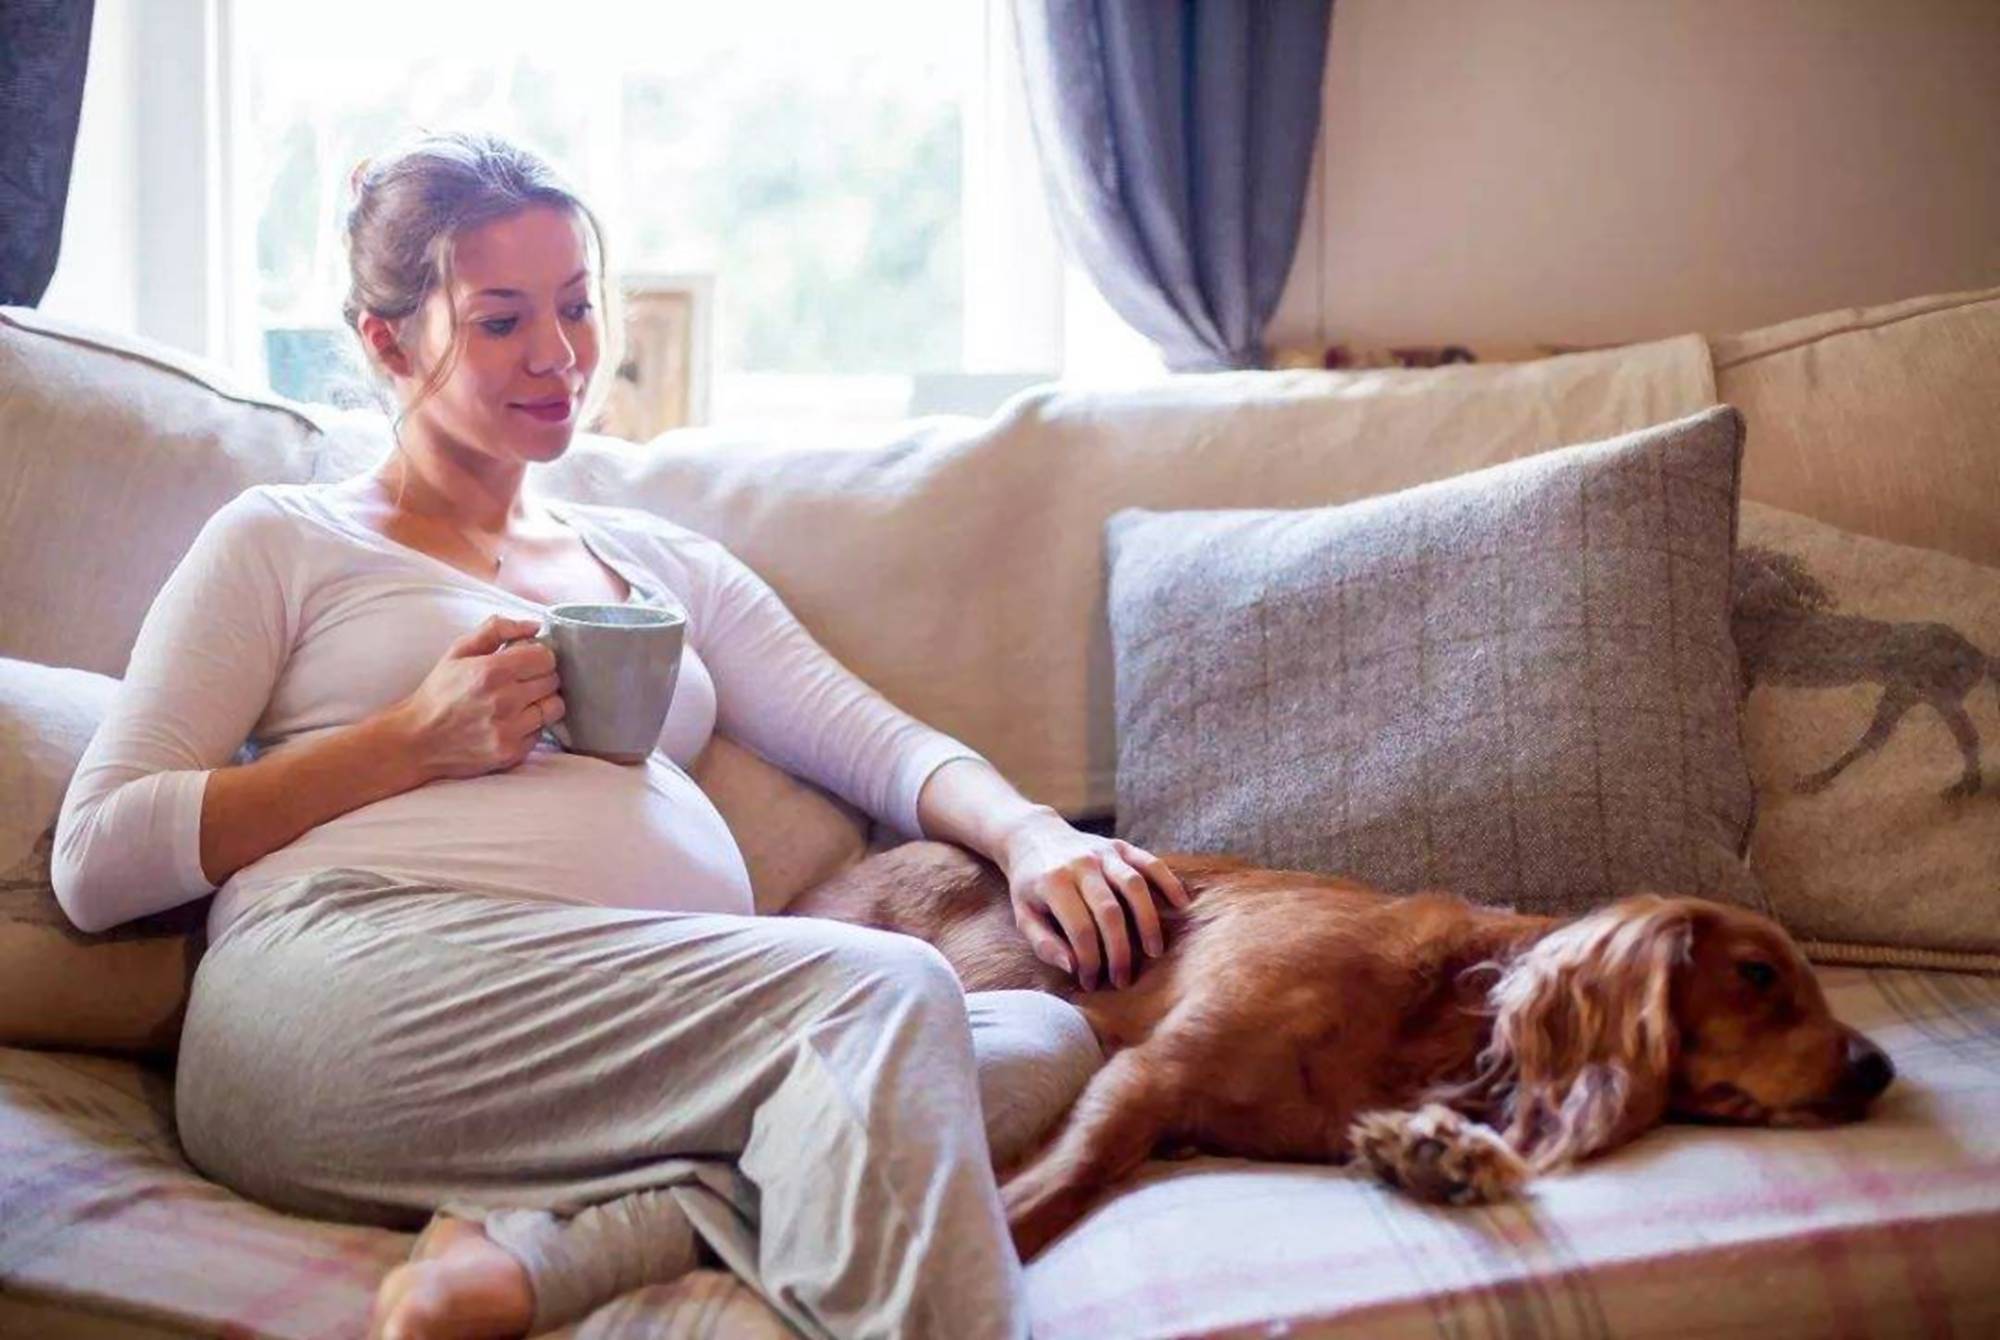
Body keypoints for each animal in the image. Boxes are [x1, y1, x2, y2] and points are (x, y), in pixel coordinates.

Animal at [788, 844, 1896, 1264]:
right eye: (1757, 974)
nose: (1879, 1069)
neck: (1436, 1015)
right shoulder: (1148, 1074)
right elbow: (1064, 1177)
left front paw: (1437, 1154)